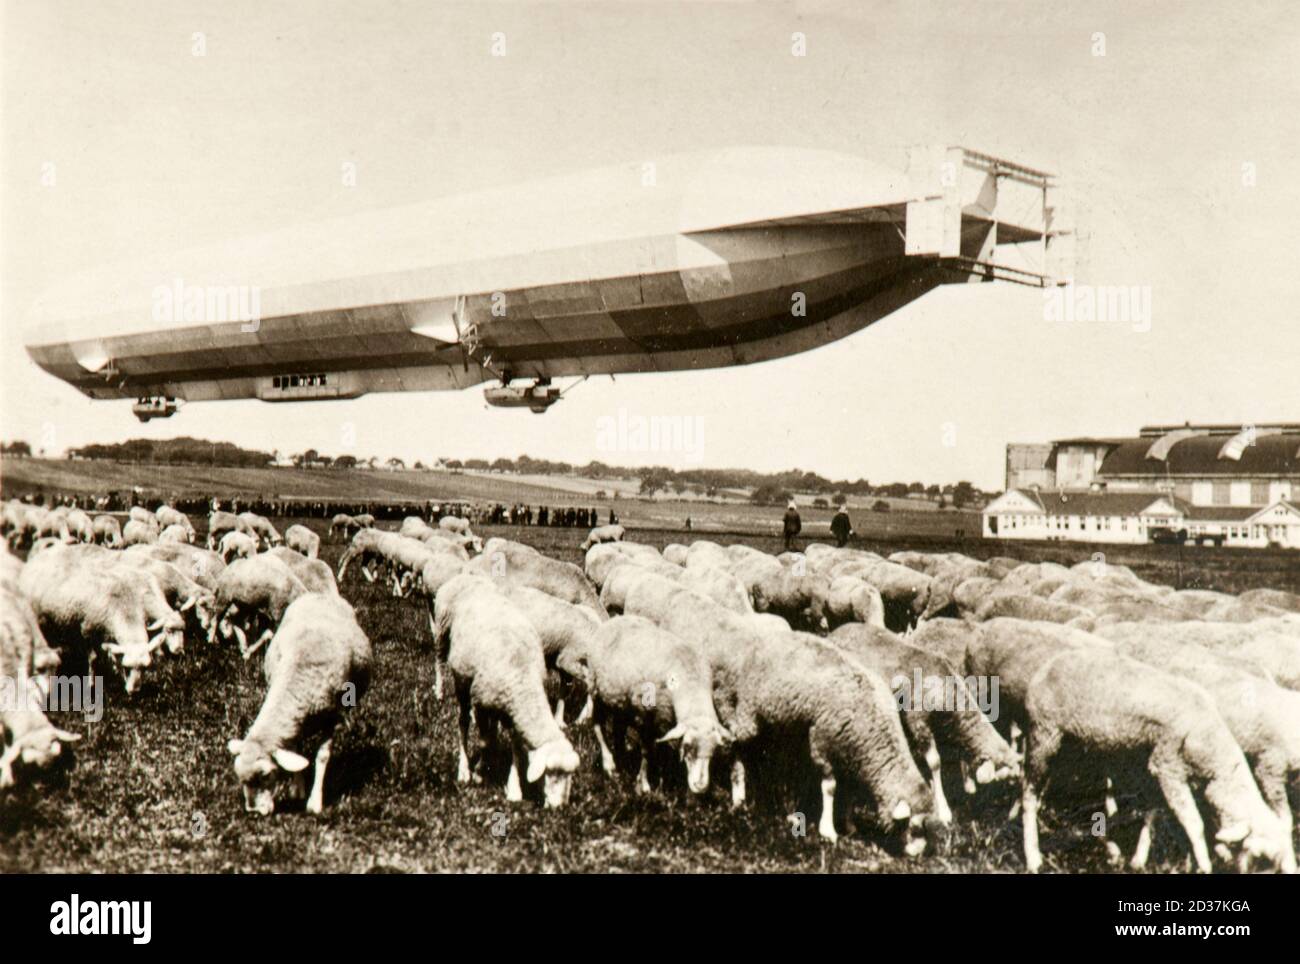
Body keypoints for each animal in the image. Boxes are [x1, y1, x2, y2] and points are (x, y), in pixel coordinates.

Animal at [227, 597, 371, 815]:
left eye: (265, 775)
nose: (253, 811)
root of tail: (317, 595)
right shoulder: (296, 720)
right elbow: (297, 752)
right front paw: (297, 789)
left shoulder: (332, 717)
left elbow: (322, 756)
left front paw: (314, 802)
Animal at [431, 574, 579, 805]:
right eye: (552, 773)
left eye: (570, 777)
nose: (560, 808)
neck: (523, 679)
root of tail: (466, 576)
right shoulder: (482, 703)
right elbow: (485, 742)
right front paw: (479, 772)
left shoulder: (512, 709)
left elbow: (516, 749)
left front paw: (514, 789)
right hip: (452, 656)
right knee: (461, 718)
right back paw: (464, 768)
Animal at [582, 615, 728, 795]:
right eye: (688, 746)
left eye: (713, 751)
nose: (700, 787)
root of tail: (615, 619)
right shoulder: (644, 717)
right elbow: (647, 751)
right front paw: (643, 784)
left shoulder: (665, 720)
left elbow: (661, 748)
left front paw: (662, 777)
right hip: (596, 690)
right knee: (598, 724)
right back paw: (609, 764)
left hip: (621, 702)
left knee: (618, 728)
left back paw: (622, 757)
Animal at [1024, 649, 1289, 878]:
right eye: (1262, 857)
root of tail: (1048, 666)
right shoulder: (1167, 767)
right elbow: (1194, 822)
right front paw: (1204, 864)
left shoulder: (1153, 772)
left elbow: (1151, 815)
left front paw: (1140, 859)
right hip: (1044, 733)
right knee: (1029, 792)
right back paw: (1033, 857)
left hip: (1078, 748)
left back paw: (1108, 847)